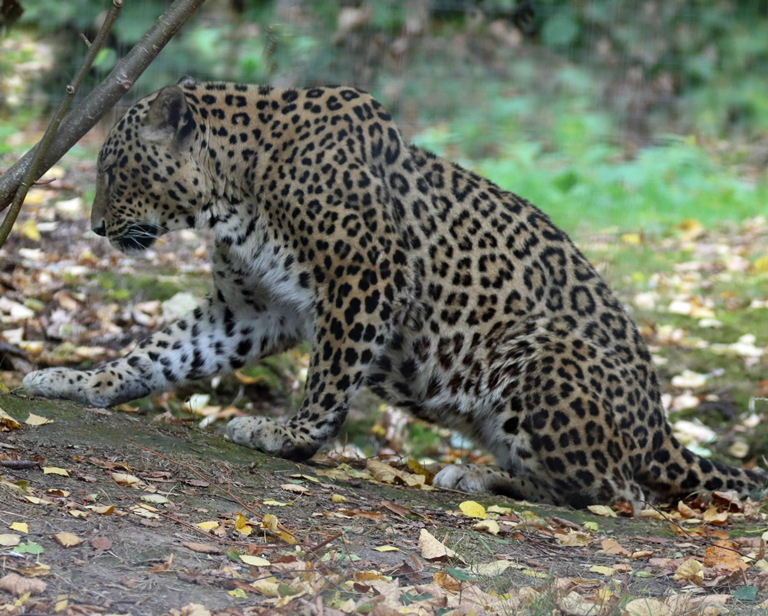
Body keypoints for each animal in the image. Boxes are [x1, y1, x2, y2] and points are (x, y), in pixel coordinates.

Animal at [23, 78, 766, 509]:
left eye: (114, 169)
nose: (96, 226)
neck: (235, 188)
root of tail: (661, 426)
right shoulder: (251, 309)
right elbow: (160, 352)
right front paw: (78, 381)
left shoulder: (365, 274)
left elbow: (329, 377)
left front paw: (287, 435)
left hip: (536, 351)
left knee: (621, 494)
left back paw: (482, 479)